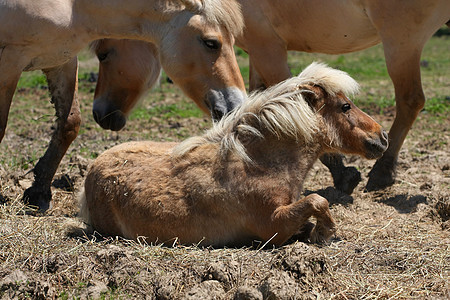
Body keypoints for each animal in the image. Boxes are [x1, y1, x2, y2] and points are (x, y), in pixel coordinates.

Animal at [0, 0, 246, 211]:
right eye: (211, 43)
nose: (236, 103)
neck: (73, 6)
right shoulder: (11, 61)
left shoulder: (61, 60)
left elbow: (69, 124)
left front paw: (39, 193)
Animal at [79, 62, 388, 246]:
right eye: (346, 107)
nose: (381, 136)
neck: (257, 163)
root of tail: (92, 169)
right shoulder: (273, 225)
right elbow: (318, 201)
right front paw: (323, 233)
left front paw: (314, 231)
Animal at [92, 0, 450, 192]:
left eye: (104, 53)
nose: (100, 114)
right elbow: (257, 97)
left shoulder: (268, 48)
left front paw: (343, 174)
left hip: (401, 41)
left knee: (410, 100)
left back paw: (383, 171)